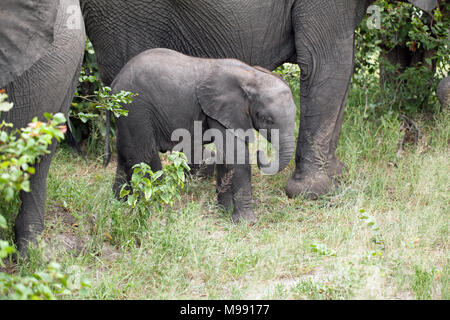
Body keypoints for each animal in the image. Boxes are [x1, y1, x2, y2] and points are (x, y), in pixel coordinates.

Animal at [80, 0, 436, 199]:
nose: (263, 156)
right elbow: (329, 61)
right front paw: (314, 193)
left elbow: (340, 66)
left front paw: (337, 174)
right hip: (125, 15)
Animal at [110, 48, 298, 222]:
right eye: (266, 119)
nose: (260, 153)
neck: (252, 75)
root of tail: (115, 81)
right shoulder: (220, 110)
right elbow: (236, 156)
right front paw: (246, 222)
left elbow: (226, 156)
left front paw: (224, 211)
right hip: (135, 108)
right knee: (144, 156)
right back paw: (151, 209)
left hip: (124, 112)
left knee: (125, 154)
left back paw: (119, 202)